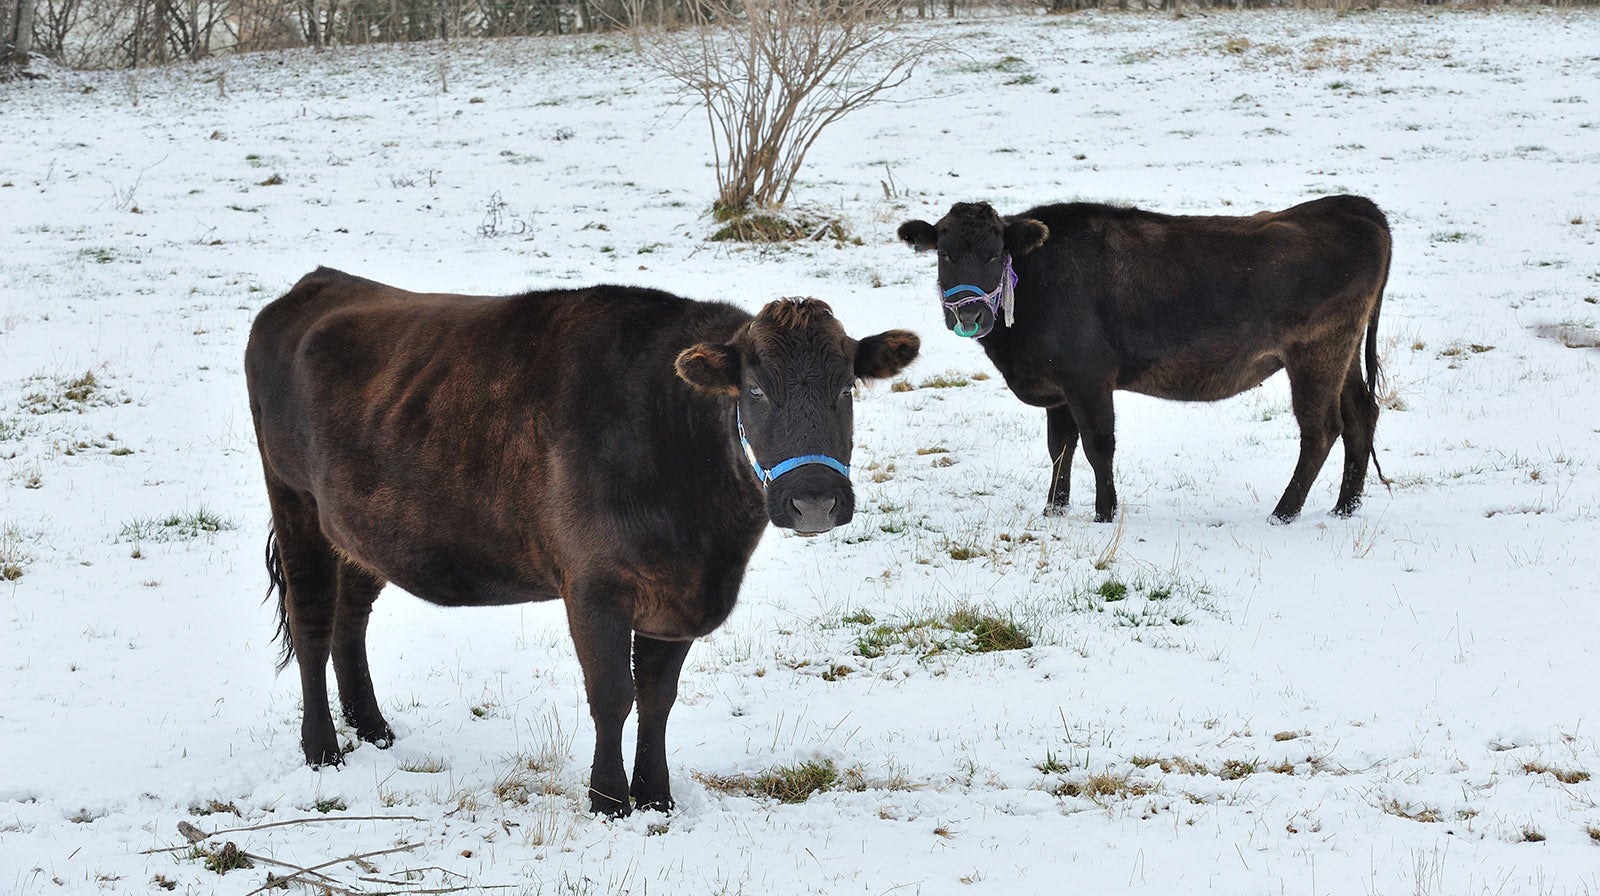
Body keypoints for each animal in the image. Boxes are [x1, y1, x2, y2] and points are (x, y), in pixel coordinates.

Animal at [235, 268, 915, 816]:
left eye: (846, 389)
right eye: (756, 391)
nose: (814, 500)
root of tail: (319, 283)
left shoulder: (676, 596)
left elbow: (658, 699)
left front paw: (657, 798)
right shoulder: (593, 586)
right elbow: (613, 695)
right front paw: (609, 800)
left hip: (358, 526)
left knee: (351, 618)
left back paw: (373, 728)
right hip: (294, 500)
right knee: (312, 618)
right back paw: (323, 750)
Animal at [902, 192, 1388, 521]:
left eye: (993, 254)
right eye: (944, 253)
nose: (969, 314)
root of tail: (1352, 206)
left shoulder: (1088, 377)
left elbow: (1098, 444)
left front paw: (1104, 513)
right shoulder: (1057, 385)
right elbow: (1060, 448)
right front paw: (1053, 510)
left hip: (1316, 352)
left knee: (1321, 429)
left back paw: (1283, 512)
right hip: (1342, 355)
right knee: (1361, 414)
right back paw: (1344, 508)